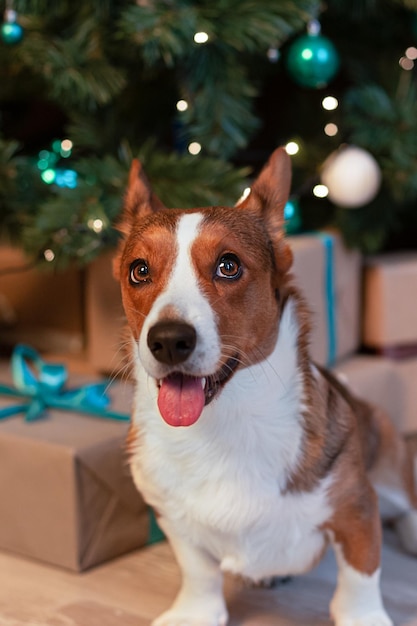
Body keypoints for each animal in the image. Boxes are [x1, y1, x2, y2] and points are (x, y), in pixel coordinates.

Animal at [113, 147, 416, 624]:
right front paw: (195, 612)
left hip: (389, 475)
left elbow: (360, 578)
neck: (226, 423)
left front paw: (363, 616)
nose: (168, 341)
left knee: (407, 508)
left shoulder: (356, 508)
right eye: (139, 270)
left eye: (228, 265)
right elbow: (198, 572)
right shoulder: (173, 518)